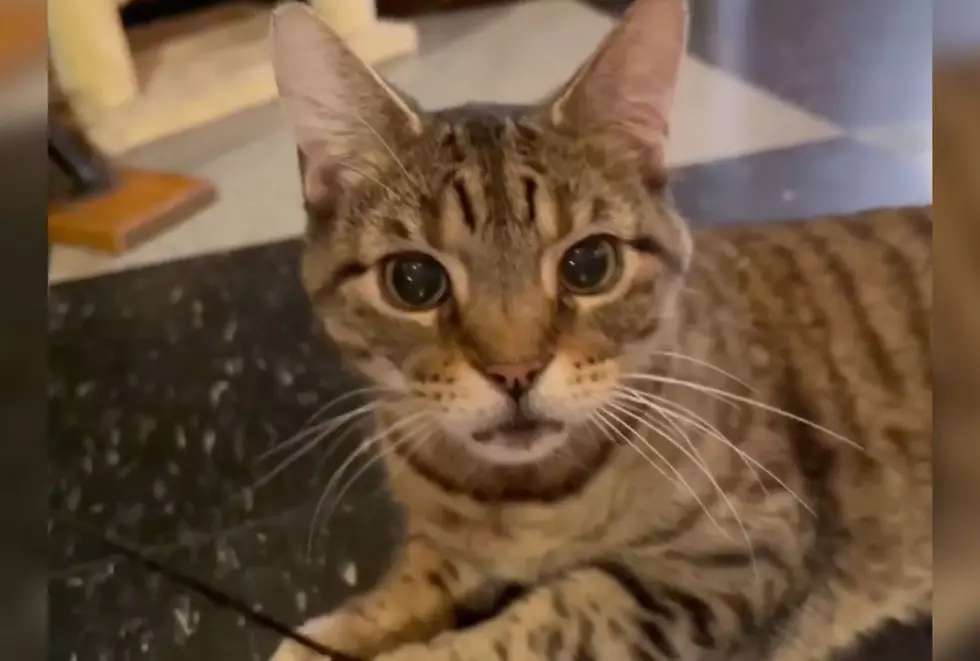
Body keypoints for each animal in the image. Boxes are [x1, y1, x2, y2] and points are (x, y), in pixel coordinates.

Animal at [266, 1, 936, 660]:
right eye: (414, 280)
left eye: (589, 265)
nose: (515, 371)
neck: (513, 500)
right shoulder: (444, 543)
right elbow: (409, 584)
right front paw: (334, 633)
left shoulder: (739, 551)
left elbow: (550, 618)